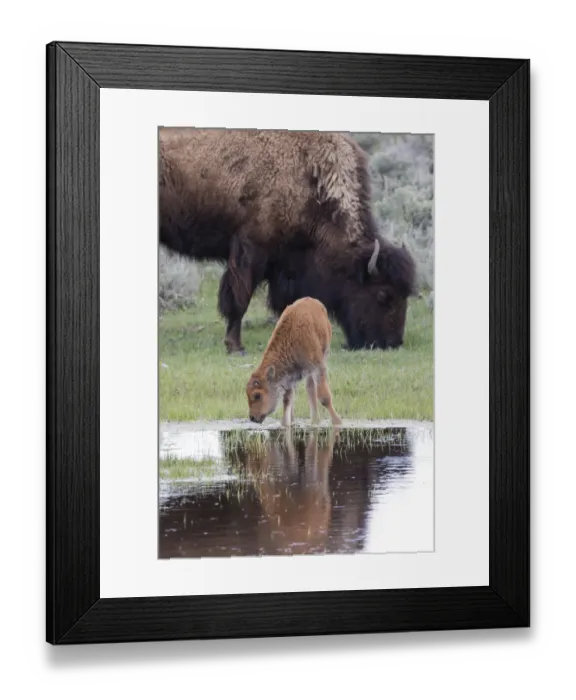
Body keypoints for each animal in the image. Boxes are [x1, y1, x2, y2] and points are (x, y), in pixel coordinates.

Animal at [159, 127, 417, 354]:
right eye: (383, 295)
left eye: (405, 295)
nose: (392, 343)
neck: (312, 179)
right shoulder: (251, 250)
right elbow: (239, 298)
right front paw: (235, 347)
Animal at [246, 297, 342, 427]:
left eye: (257, 395)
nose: (252, 418)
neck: (291, 340)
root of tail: (312, 300)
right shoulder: (289, 376)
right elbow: (288, 399)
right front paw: (286, 423)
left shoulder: (317, 367)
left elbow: (324, 397)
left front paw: (337, 422)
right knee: (307, 389)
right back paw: (310, 420)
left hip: (323, 355)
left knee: (311, 387)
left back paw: (315, 420)